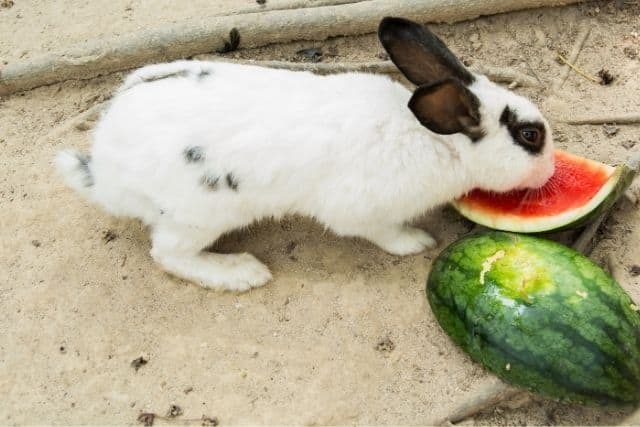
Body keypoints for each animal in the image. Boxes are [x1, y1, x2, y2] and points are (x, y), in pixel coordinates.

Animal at [55, 17, 555, 292]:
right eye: (530, 136)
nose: (552, 171)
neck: (434, 138)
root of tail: (104, 171)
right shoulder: (362, 213)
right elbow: (384, 234)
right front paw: (417, 242)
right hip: (199, 215)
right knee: (167, 254)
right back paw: (240, 273)